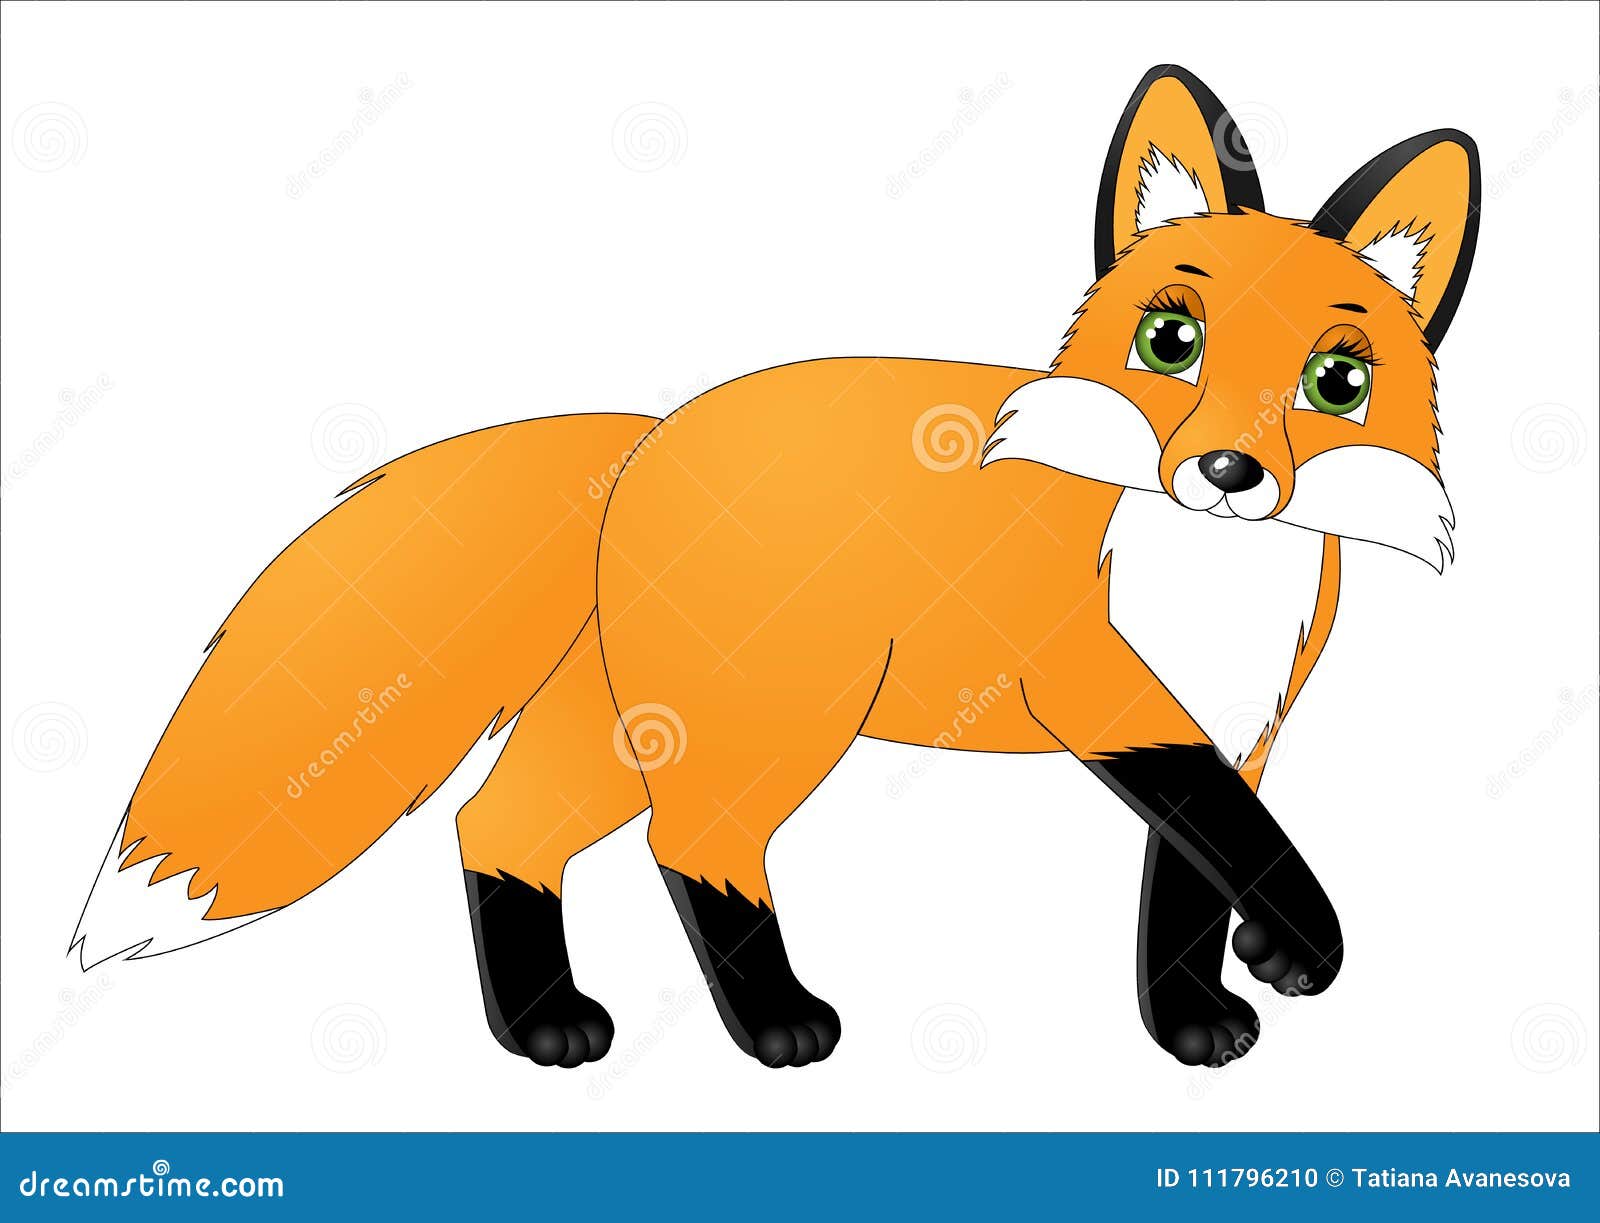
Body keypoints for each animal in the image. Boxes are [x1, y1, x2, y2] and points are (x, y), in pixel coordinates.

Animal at [73, 65, 1479, 1071]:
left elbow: (1189, 880)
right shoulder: (1109, 690)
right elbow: (1246, 844)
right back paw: (773, 1025)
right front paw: (1297, 946)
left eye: (1334, 383)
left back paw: (542, 1027)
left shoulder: (1234, 727)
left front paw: (1196, 1019)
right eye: (1171, 342)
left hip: (627, 721)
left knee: (501, 827)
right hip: (774, 718)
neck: (1203, 580)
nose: (1228, 473)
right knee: (694, 842)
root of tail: (641, 438)